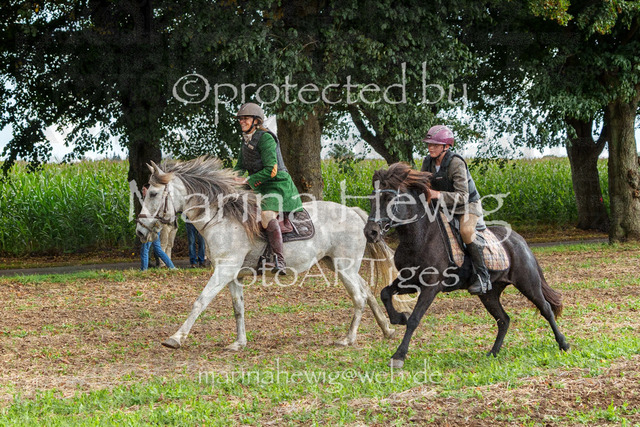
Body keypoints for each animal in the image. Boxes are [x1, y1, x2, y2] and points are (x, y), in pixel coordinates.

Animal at [135, 157, 397, 351]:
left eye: (153, 194)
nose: (140, 231)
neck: (223, 218)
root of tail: (354, 213)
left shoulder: (224, 270)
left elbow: (200, 301)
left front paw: (176, 338)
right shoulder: (233, 275)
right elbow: (238, 308)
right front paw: (239, 343)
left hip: (344, 267)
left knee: (359, 297)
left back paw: (348, 339)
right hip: (336, 264)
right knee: (367, 291)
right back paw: (387, 329)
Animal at [363, 163, 570, 368]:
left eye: (388, 198)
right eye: (372, 198)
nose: (370, 233)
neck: (418, 237)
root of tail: (520, 240)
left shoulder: (430, 287)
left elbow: (414, 319)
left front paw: (399, 355)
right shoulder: (410, 281)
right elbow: (385, 293)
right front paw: (399, 318)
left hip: (528, 283)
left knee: (546, 309)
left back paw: (563, 344)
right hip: (489, 294)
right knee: (503, 320)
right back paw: (493, 353)